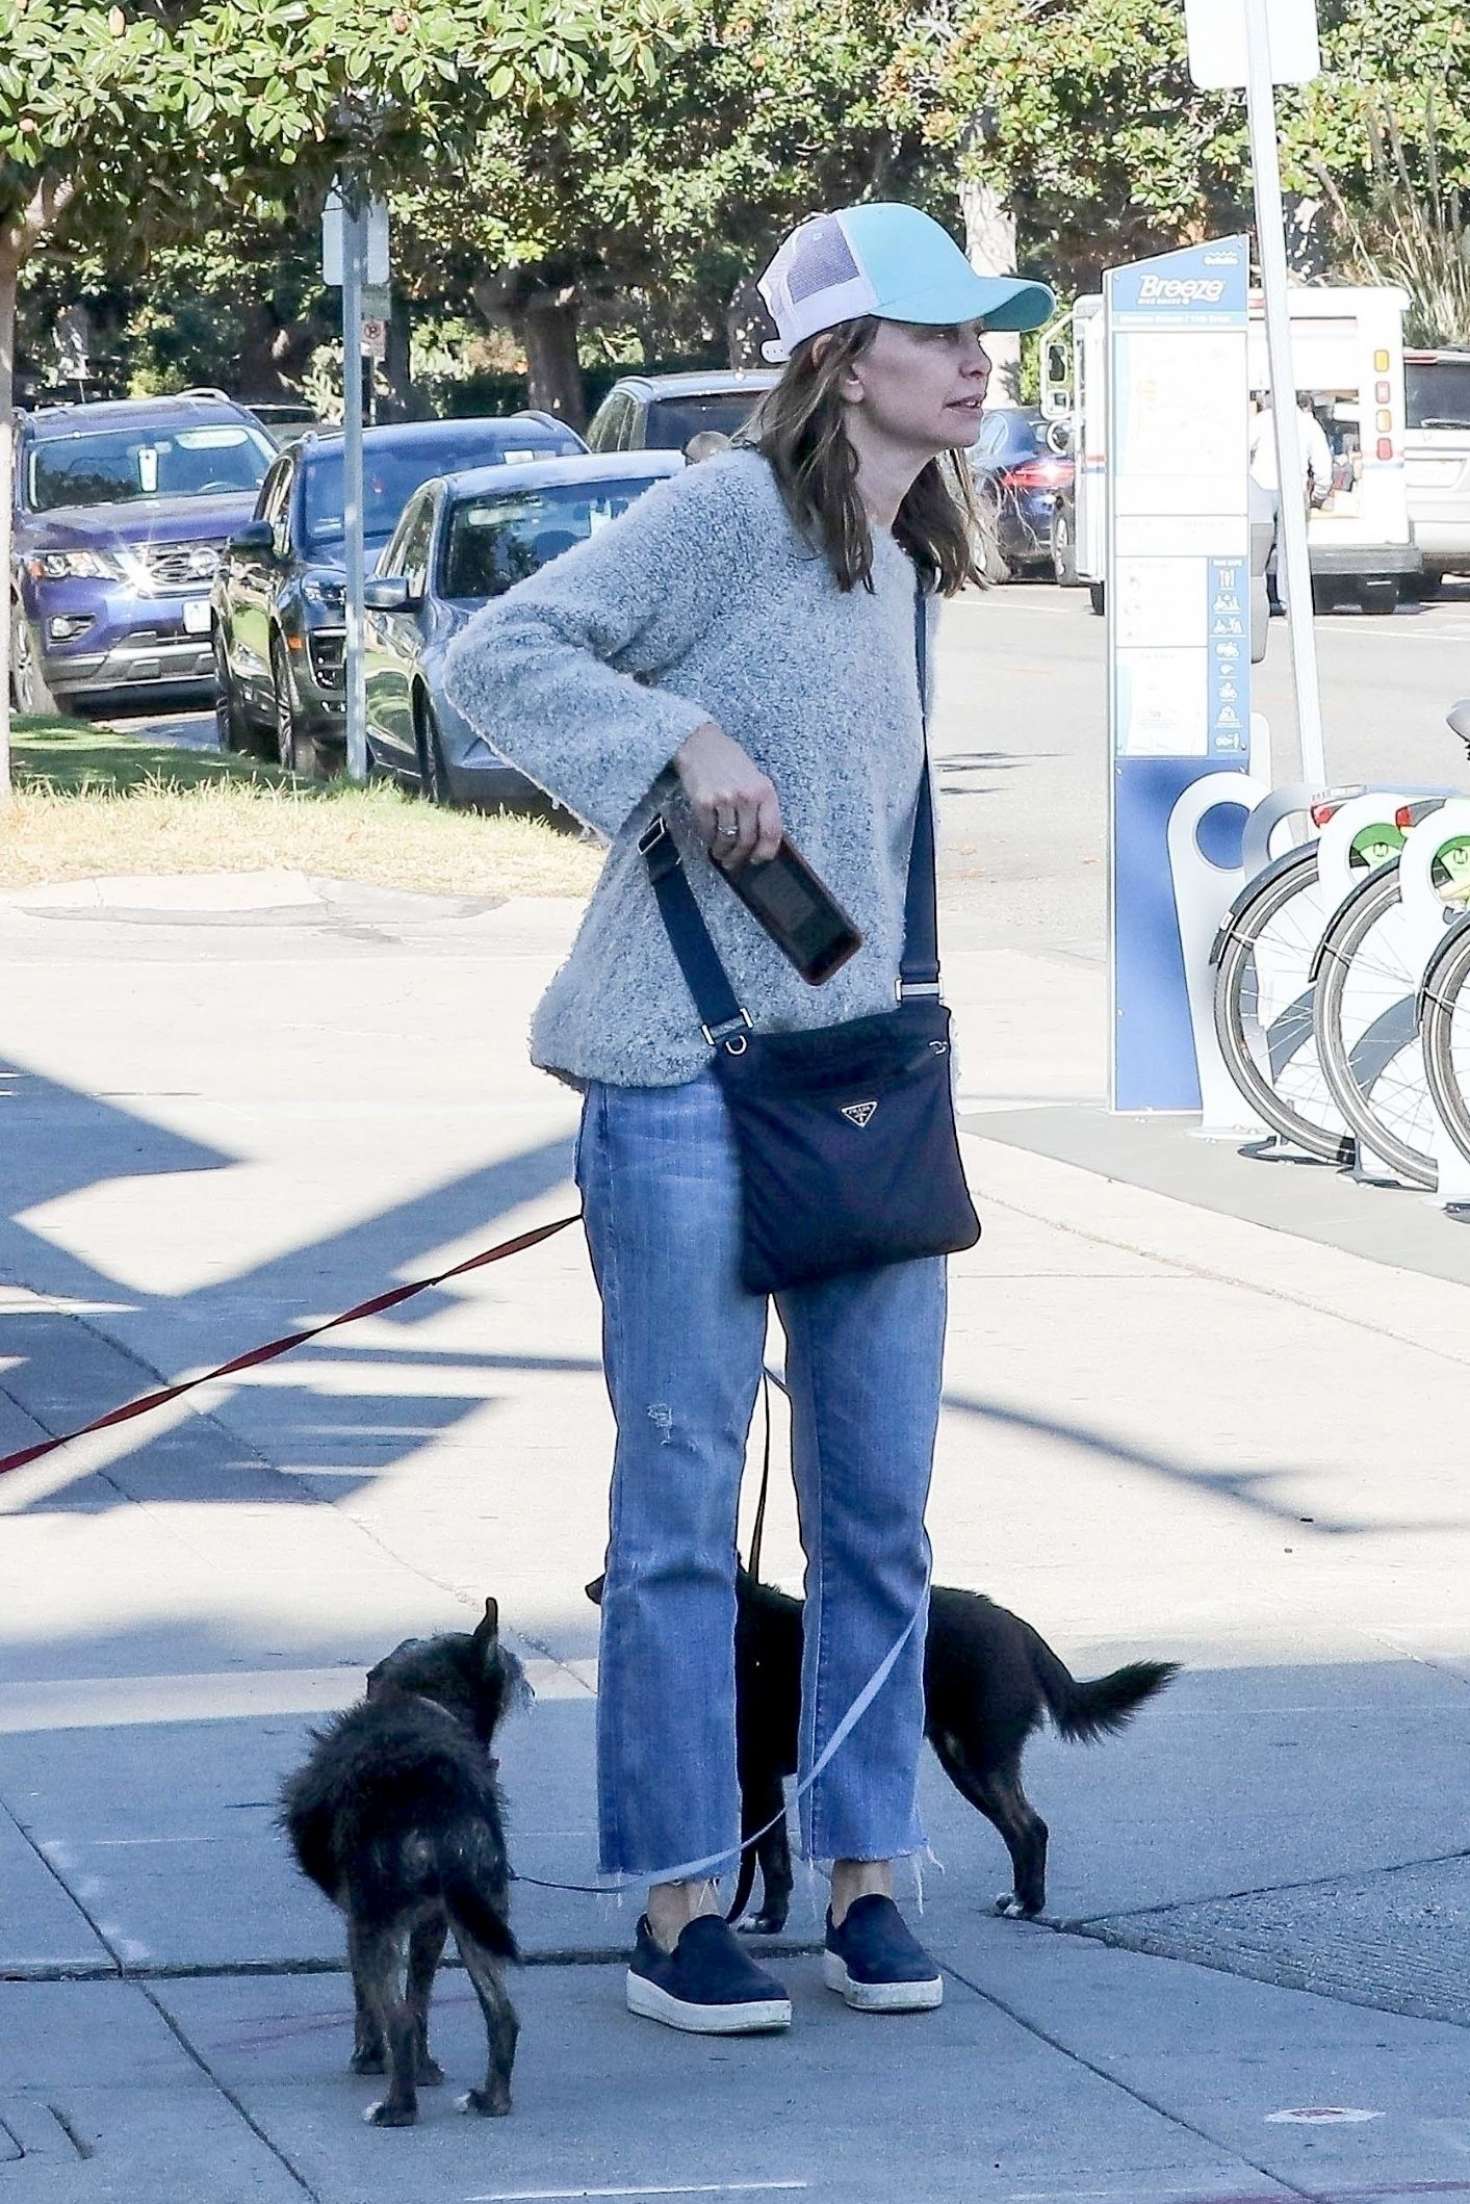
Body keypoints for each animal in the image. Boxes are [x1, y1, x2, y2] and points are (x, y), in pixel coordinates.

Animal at [278, 1595, 526, 2124]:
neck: (423, 1698)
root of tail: (437, 1802)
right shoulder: (432, 1924)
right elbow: (422, 1995)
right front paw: (426, 2067)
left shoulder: (359, 1921)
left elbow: (367, 1999)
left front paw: (369, 2057)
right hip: (475, 1915)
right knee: (500, 2015)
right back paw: (490, 2098)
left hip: (377, 1922)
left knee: (399, 2020)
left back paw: (396, 2108)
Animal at [586, 1569, 1172, 1930]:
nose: (590, 1587)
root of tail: (1021, 1631)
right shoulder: (765, 1781)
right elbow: (776, 1859)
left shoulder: (756, 1776)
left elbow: (769, 1860)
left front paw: (767, 1918)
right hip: (967, 1759)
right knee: (1023, 1829)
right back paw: (1024, 1900)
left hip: (975, 1755)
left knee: (1030, 1828)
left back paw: (1028, 1905)